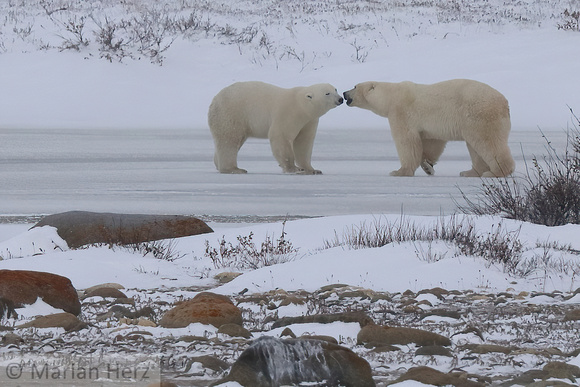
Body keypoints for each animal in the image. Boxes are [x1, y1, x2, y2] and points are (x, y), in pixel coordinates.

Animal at [210, 82, 342, 174]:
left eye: (335, 89)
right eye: (327, 93)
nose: (340, 99)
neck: (302, 105)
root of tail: (214, 99)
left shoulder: (309, 121)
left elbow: (303, 143)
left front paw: (313, 170)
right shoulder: (288, 113)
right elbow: (281, 137)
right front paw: (294, 168)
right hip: (232, 114)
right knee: (229, 140)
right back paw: (234, 168)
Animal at [342, 80, 516, 177]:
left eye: (355, 86)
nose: (344, 93)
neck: (391, 96)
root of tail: (505, 103)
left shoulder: (401, 112)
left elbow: (407, 141)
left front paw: (400, 171)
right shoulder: (430, 125)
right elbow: (433, 141)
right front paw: (427, 166)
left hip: (480, 115)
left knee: (487, 142)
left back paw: (495, 172)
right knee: (475, 147)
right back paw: (469, 172)